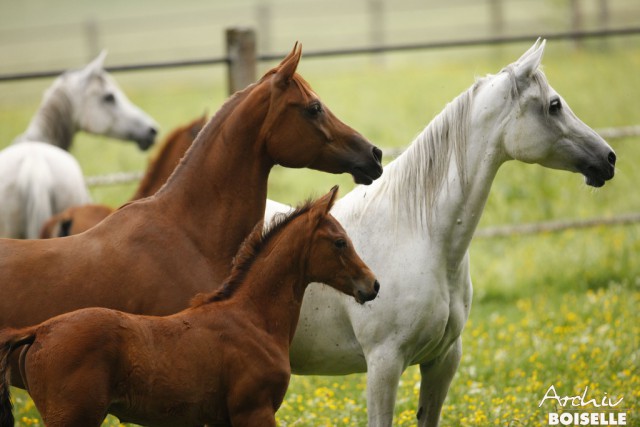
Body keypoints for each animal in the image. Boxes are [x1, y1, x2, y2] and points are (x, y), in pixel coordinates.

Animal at [0, 189, 378, 427]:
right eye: (340, 242)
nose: (372, 284)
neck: (251, 319)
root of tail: (40, 331)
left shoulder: (224, 419)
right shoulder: (254, 411)